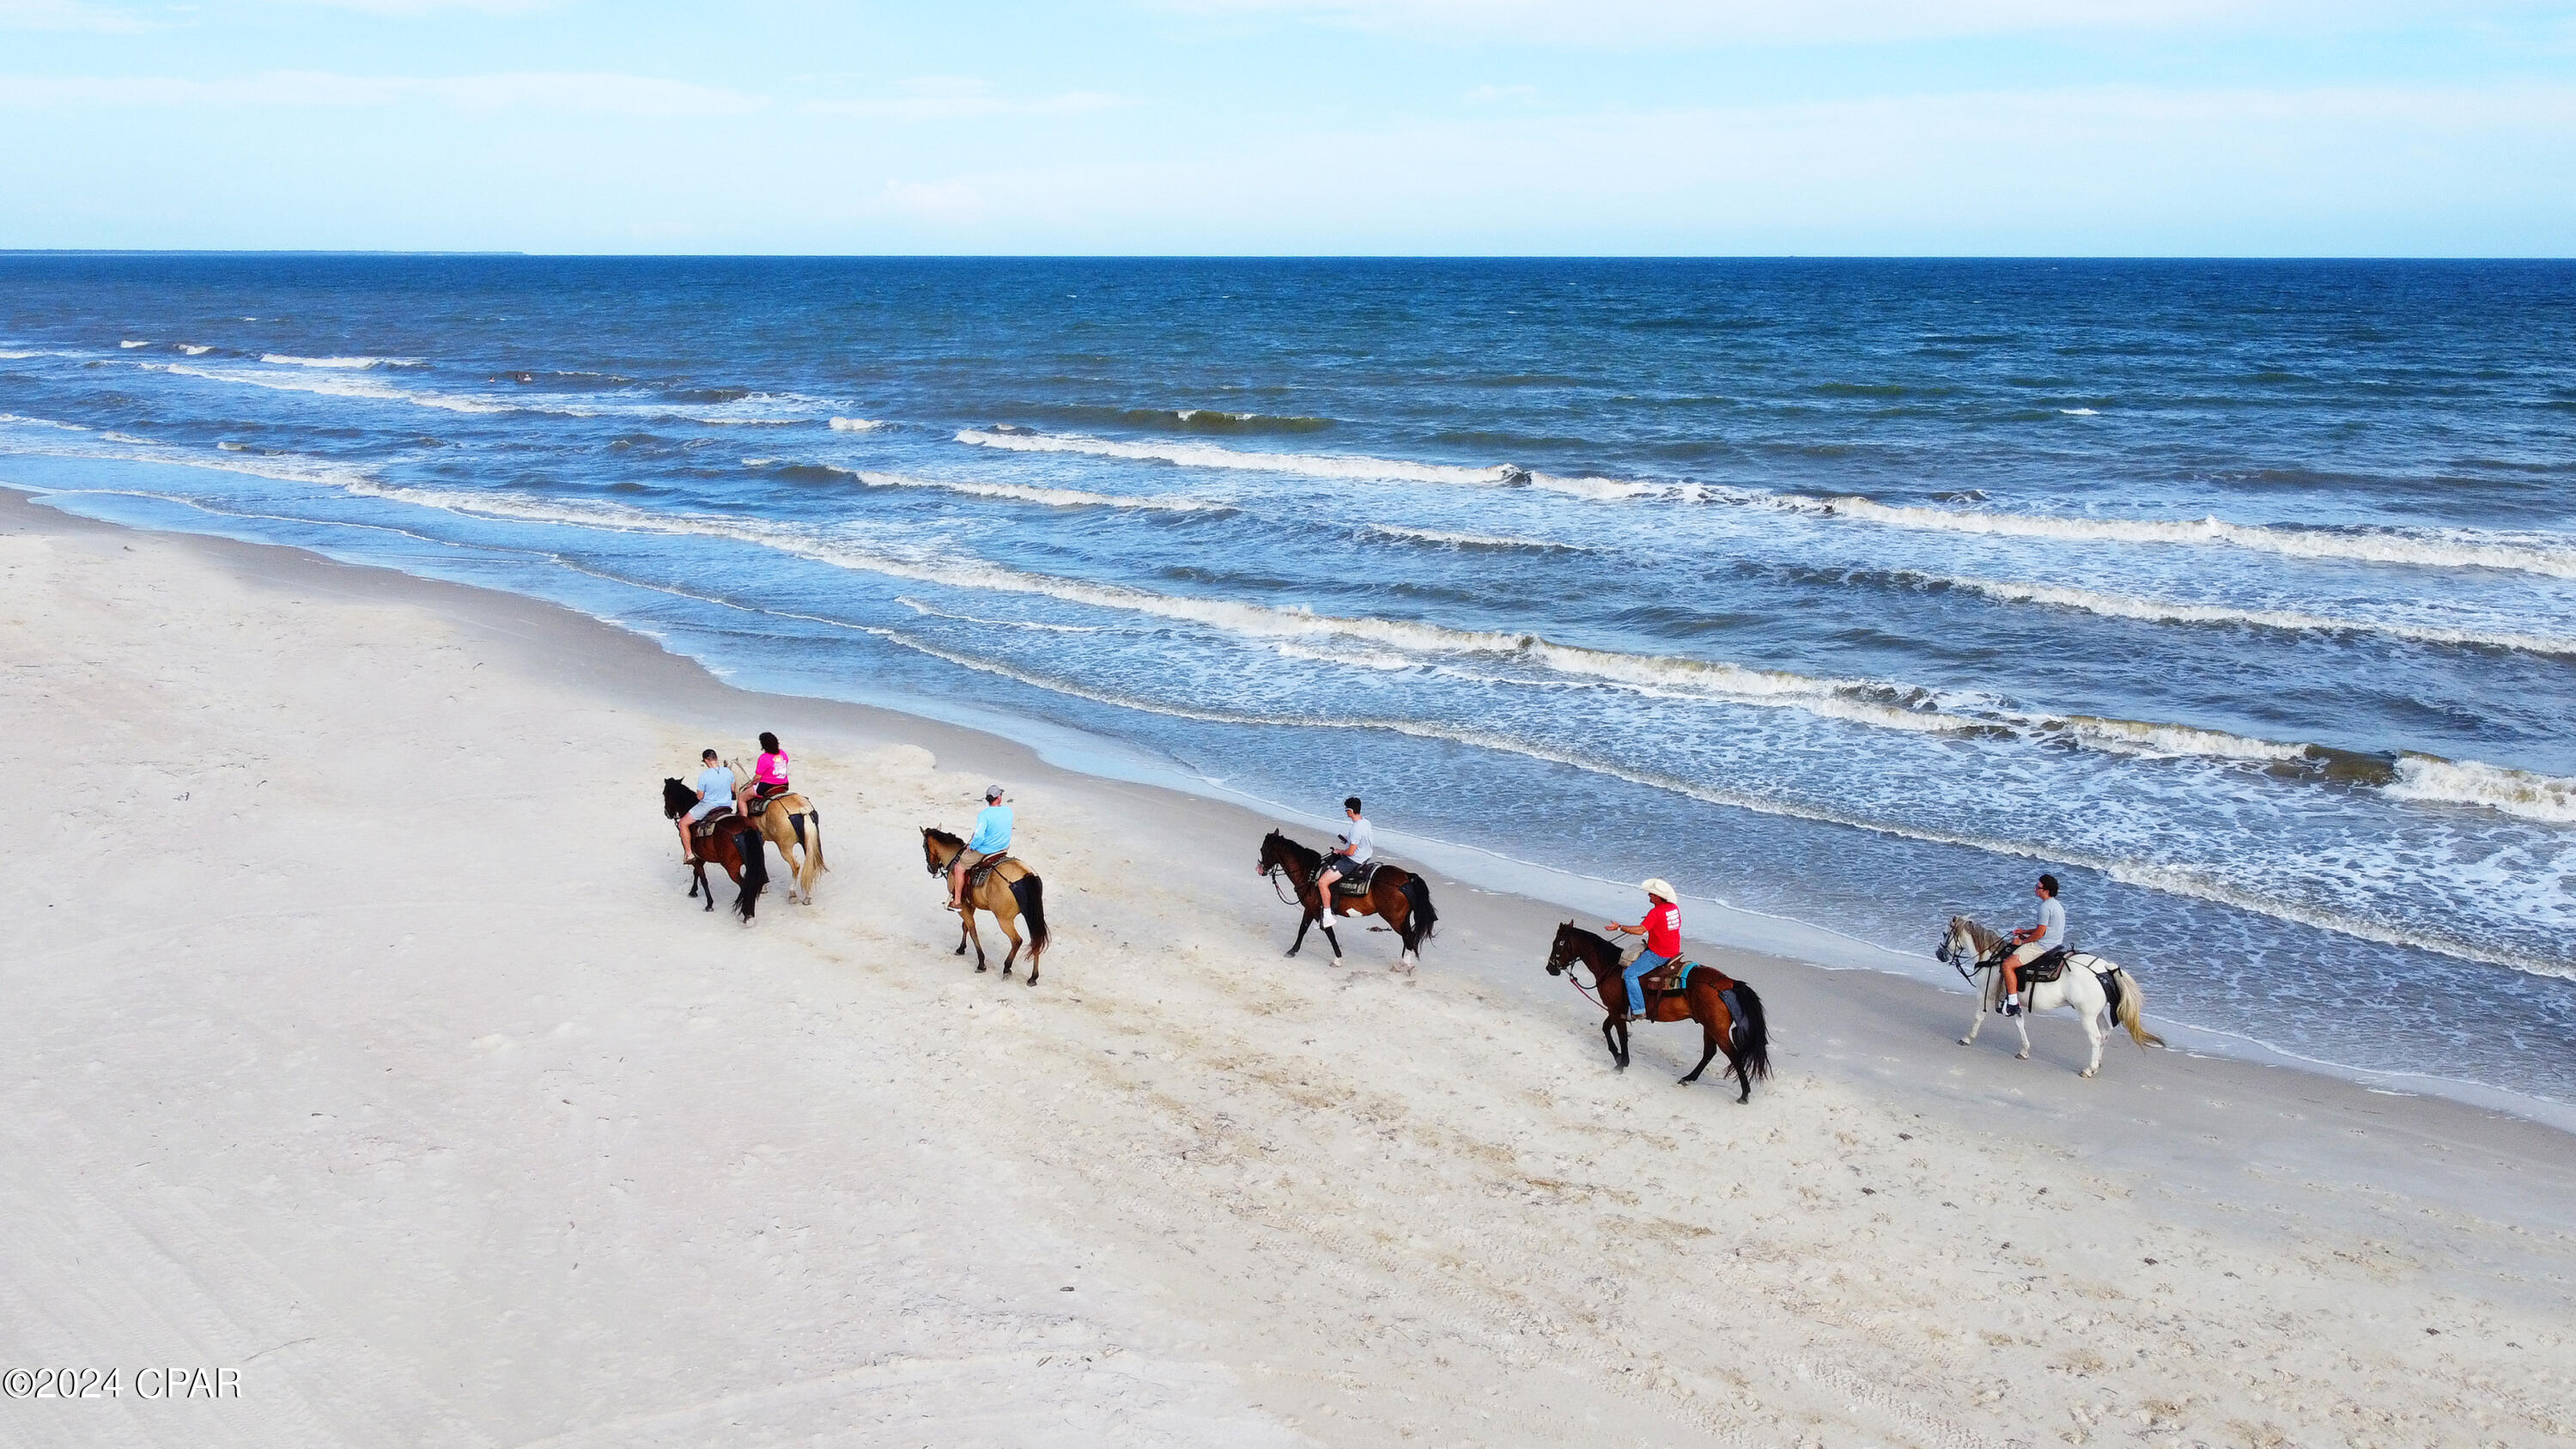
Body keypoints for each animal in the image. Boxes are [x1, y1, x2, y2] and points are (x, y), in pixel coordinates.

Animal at [659, 773, 757, 917]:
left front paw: (709, 904)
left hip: (732, 868)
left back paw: (746, 914)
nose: (667, 813)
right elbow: (696, 873)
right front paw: (693, 891)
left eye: (665, 793)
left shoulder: (696, 858)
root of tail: (745, 828)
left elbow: (703, 879)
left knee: (745, 885)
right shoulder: (701, 856)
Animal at [922, 825, 1051, 979]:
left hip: (1004, 919)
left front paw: (981, 963)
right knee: (1036, 939)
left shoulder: (962, 905)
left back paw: (1007, 967)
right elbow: (965, 926)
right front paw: (961, 948)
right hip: (1032, 916)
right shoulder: (970, 904)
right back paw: (1033, 977)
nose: (931, 869)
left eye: (924, 846)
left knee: (1017, 940)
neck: (955, 858)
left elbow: (972, 929)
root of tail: (1026, 874)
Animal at [1257, 830, 1443, 964]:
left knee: (1409, 937)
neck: (1310, 873)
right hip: (1402, 918)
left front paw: (1338, 958)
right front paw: (1293, 951)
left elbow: (1328, 932)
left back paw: (1404, 964)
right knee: (1408, 938)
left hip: (1395, 919)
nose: (1259, 869)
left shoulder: (1316, 910)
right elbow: (1303, 929)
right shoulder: (1310, 909)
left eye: (1263, 850)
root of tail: (1408, 877)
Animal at [1535, 917, 1762, 1098]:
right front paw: (1617, 1055)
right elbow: (1606, 1029)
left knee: (1733, 1055)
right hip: (1708, 1026)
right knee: (1709, 1053)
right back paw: (1689, 1078)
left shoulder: (1615, 1009)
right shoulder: (1615, 1010)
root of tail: (1729, 982)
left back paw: (1744, 1093)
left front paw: (1622, 1062)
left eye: (1558, 943)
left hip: (1716, 1028)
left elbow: (1620, 1035)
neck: (1611, 967)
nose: (1549, 968)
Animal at [1937, 912, 2164, 1072]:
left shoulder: (1985, 993)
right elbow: (2020, 1023)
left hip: (2086, 1015)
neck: (1992, 958)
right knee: (2106, 1032)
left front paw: (1967, 1038)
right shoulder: (2014, 1001)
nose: (1939, 953)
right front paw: (2024, 1051)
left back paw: (2089, 1069)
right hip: (2097, 1012)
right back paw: (2097, 1063)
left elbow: (1978, 1017)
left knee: (2096, 1037)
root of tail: (2105, 969)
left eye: (1945, 934)